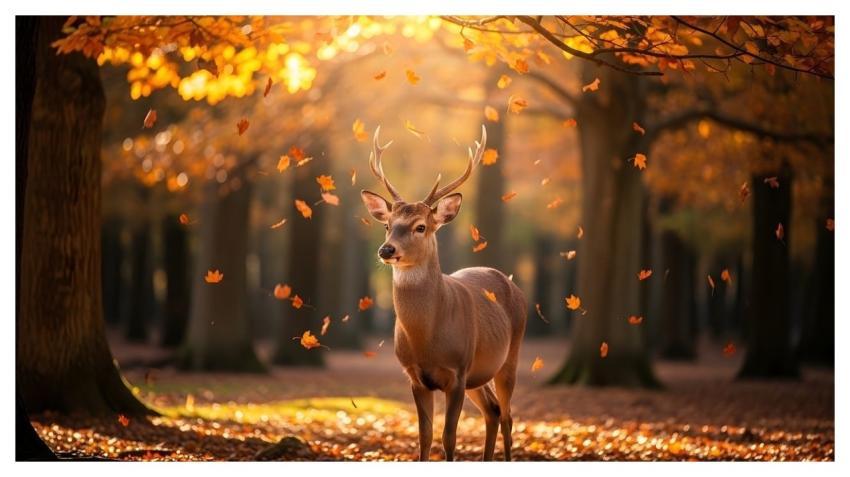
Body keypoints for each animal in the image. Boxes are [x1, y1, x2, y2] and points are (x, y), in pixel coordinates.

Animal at [359, 125, 527, 461]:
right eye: (387, 225)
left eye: (421, 226)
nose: (386, 250)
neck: (427, 339)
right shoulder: (415, 376)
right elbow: (425, 436)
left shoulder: (457, 372)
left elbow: (450, 437)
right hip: (480, 373)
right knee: (492, 411)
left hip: (509, 358)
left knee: (507, 415)